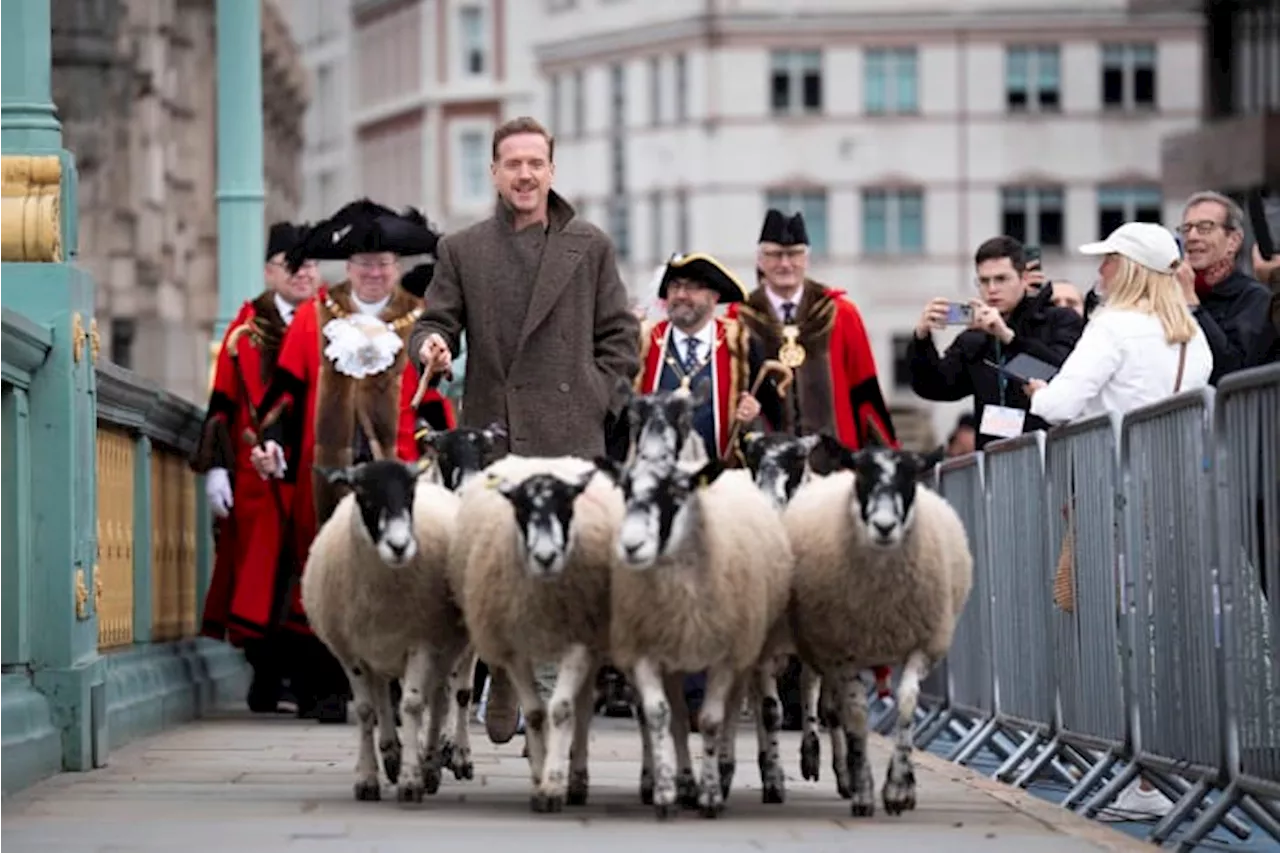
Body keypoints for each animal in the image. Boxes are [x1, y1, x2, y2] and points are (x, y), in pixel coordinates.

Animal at [302, 458, 468, 799]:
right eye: (362, 494)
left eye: (409, 494)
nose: (399, 546)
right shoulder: (351, 653)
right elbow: (367, 709)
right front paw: (367, 778)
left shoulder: (422, 641)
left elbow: (413, 704)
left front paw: (411, 779)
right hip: (380, 650)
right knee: (391, 697)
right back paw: (394, 753)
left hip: (452, 646)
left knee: (449, 698)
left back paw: (442, 760)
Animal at [450, 450, 624, 809]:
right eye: (522, 510)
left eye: (567, 508)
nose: (546, 556)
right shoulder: (512, 646)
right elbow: (532, 713)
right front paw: (539, 776)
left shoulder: (579, 641)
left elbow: (560, 710)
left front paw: (553, 784)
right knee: (461, 689)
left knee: (582, 707)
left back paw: (577, 779)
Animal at [593, 450, 793, 819]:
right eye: (625, 490)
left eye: (677, 493)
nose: (631, 546)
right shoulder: (646, 653)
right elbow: (661, 717)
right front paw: (666, 792)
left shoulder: (726, 657)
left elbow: (712, 720)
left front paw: (711, 795)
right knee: (677, 721)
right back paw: (683, 783)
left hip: (745, 653)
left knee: (733, 710)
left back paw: (725, 774)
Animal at [778, 435, 967, 814]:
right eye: (862, 476)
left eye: (910, 478)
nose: (884, 526)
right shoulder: (842, 650)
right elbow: (856, 714)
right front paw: (864, 790)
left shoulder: (923, 645)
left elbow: (906, 703)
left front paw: (898, 789)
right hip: (816, 641)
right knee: (811, 690)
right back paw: (815, 756)